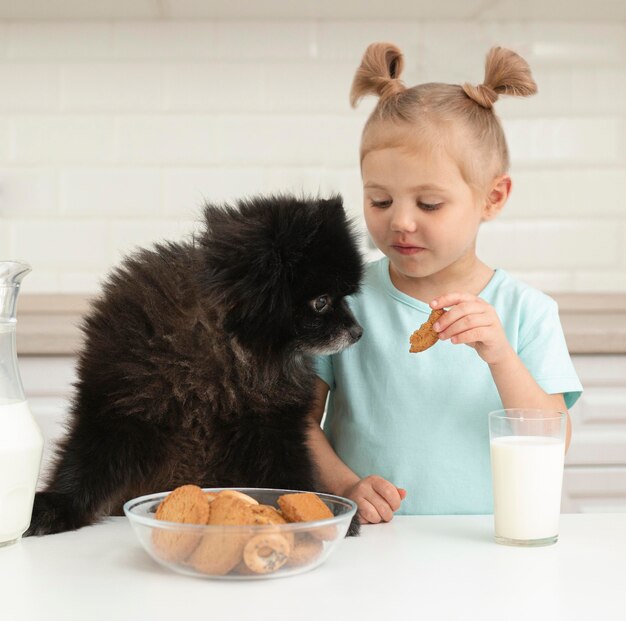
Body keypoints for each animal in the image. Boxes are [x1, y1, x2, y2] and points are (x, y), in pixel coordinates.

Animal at [26, 195, 364, 536]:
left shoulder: (273, 427)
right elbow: (83, 469)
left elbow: (292, 475)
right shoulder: (118, 412)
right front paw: (53, 507)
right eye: (321, 302)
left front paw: (318, 508)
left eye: (344, 297)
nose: (358, 331)